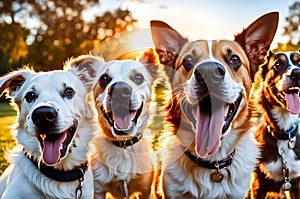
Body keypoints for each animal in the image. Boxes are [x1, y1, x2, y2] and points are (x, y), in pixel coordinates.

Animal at [91, 49, 163, 198]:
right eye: (104, 79)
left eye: (139, 77)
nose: (119, 90)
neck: (123, 146)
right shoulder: (99, 189)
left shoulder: (146, 189)